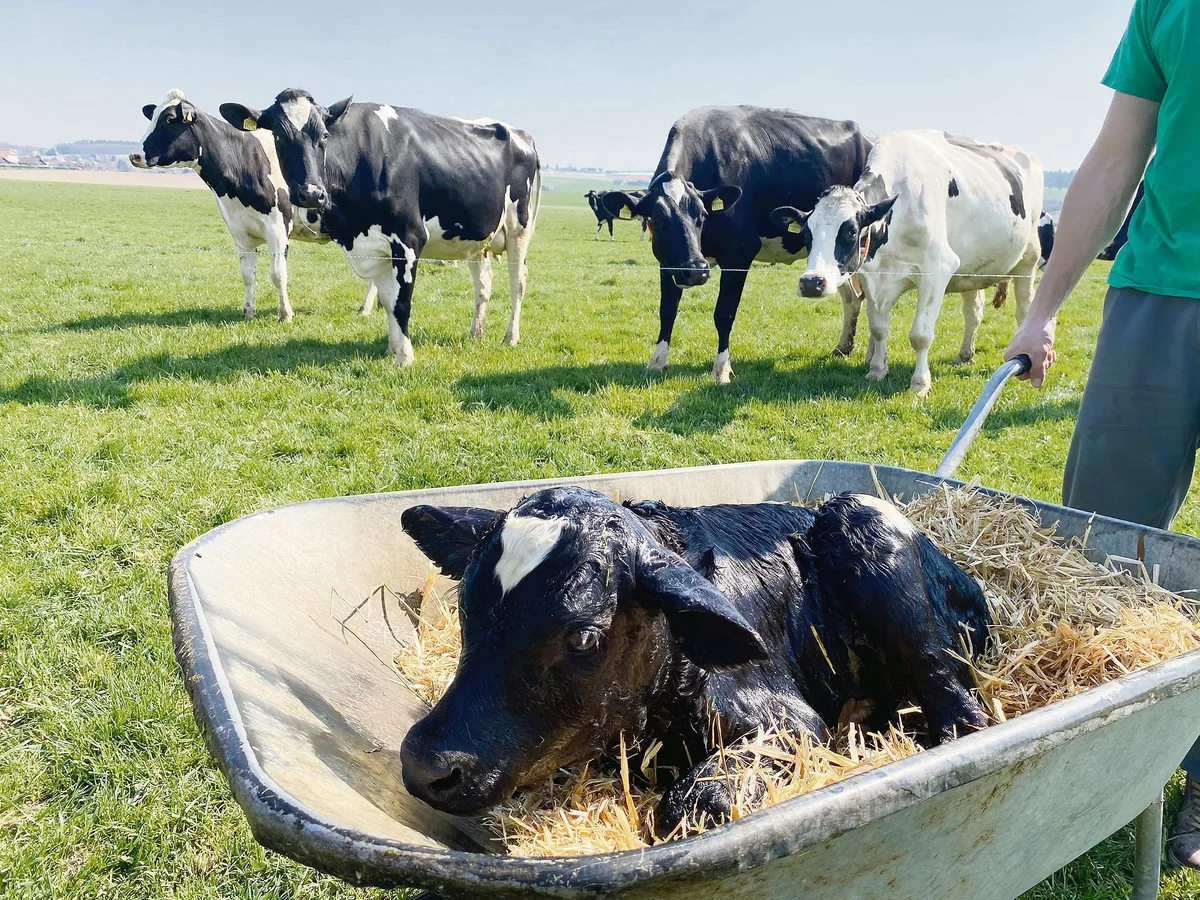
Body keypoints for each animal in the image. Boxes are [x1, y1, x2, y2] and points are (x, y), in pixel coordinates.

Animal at [131, 90, 379, 322]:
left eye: (169, 119)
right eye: (153, 116)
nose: (135, 155)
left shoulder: (278, 229)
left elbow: (278, 274)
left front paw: (285, 315)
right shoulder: (240, 231)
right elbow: (247, 274)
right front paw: (248, 312)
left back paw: (365, 309)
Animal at [220, 90, 541, 366]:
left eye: (324, 135)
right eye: (278, 135)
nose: (312, 194)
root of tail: (521, 134)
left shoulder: (409, 239)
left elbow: (401, 303)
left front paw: (405, 357)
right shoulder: (375, 245)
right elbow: (388, 300)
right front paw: (392, 348)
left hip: (519, 228)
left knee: (518, 282)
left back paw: (510, 337)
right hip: (478, 238)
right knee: (483, 284)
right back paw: (476, 332)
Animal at [398, 486, 990, 834]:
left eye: (584, 639)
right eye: (466, 607)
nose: (428, 765)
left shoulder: (789, 721)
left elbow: (691, 802)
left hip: (868, 527)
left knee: (953, 694)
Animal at [600, 107, 875, 383]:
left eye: (702, 215)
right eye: (655, 219)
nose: (696, 271)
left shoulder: (739, 253)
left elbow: (724, 313)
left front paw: (722, 369)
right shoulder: (668, 261)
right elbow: (667, 310)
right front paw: (657, 362)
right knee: (852, 298)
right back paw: (843, 347)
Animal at [772, 130, 1045, 397]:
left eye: (851, 231)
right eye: (806, 234)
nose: (811, 283)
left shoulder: (936, 270)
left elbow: (920, 335)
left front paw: (920, 384)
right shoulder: (872, 276)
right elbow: (878, 328)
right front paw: (877, 370)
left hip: (1028, 260)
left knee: (1024, 311)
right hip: (972, 268)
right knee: (973, 312)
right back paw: (964, 355)